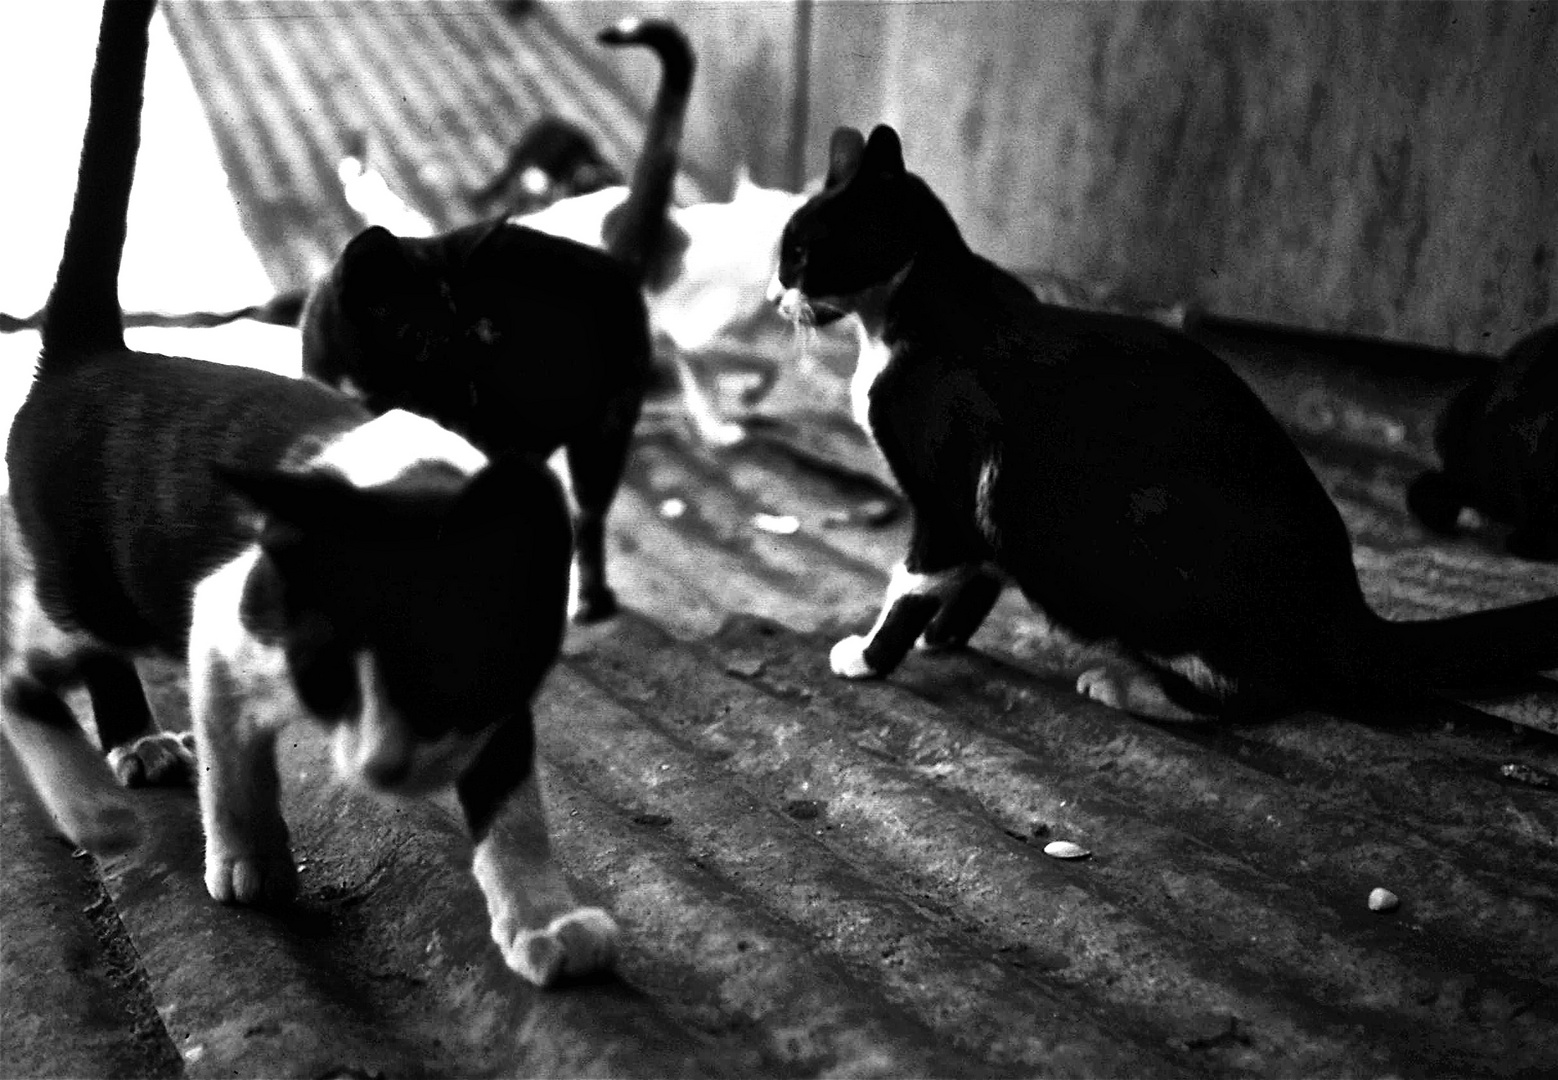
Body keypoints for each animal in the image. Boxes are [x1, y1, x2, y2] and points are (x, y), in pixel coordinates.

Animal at [4, 0, 613, 984]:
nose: (388, 769)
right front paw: (250, 864)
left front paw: (544, 920)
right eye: (337, 670)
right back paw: (105, 791)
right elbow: (235, 765)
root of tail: (87, 356)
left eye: (446, 676)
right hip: (91, 589)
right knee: (26, 671)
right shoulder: (223, 618)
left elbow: (514, 802)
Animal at [300, 16, 691, 623]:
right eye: (420, 337)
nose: (464, 387)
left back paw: (592, 602)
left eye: (477, 331)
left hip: (603, 430)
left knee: (590, 517)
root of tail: (612, 261)